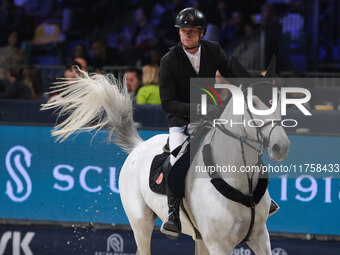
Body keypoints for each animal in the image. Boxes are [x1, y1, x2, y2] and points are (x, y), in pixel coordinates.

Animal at [40, 69, 290, 255]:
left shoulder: (260, 237)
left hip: (200, 238)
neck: (240, 180)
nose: (281, 146)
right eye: (253, 104)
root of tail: (139, 146)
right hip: (140, 224)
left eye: (277, 101)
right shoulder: (220, 244)